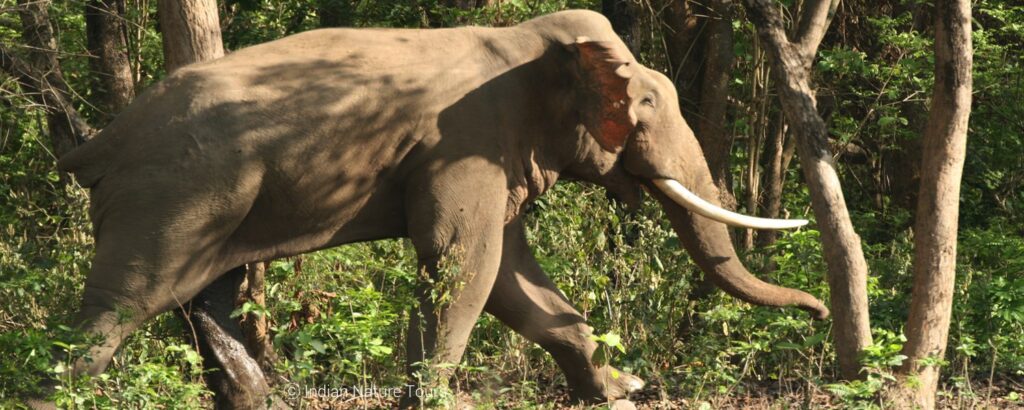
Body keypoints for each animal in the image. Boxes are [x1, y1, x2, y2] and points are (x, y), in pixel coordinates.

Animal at [49, 8, 831, 405]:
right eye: (644, 104)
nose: (822, 313)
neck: (524, 40)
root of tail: (97, 147)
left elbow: (512, 275)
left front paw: (617, 388)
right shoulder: (466, 141)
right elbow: (466, 263)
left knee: (206, 301)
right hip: (171, 196)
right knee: (118, 310)